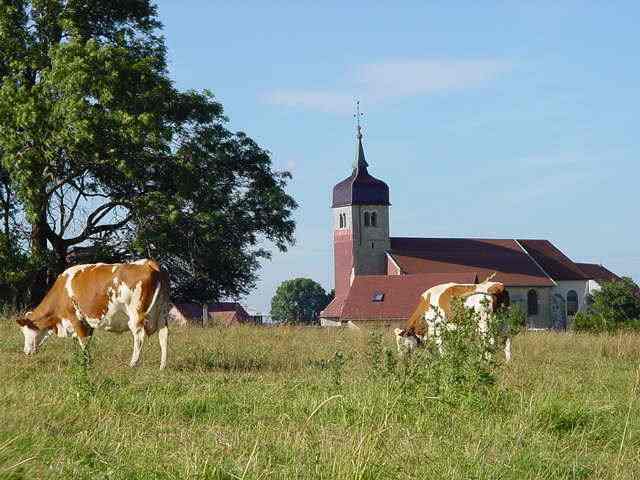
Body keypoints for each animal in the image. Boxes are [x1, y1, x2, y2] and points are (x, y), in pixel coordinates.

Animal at [17, 260, 171, 370]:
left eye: (26, 332)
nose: (26, 351)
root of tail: (148, 263)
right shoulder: (88, 323)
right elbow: (88, 341)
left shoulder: (76, 318)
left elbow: (83, 342)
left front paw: (86, 365)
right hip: (162, 313)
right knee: (163, 335)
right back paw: (162, 366)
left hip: (136, 314)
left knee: (139, 336)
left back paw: (133, 364)